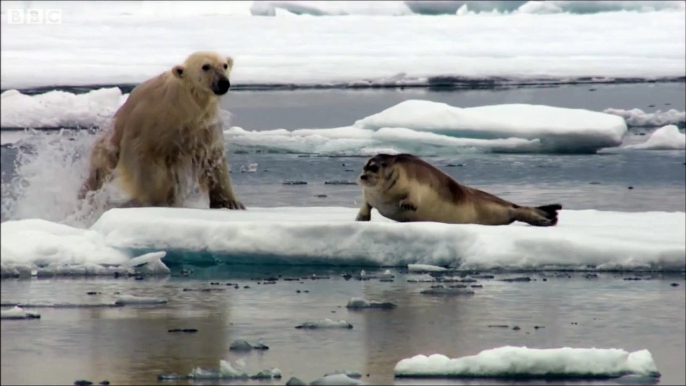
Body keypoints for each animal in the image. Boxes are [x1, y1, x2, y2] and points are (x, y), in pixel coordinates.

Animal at [79, 51, 246, 210]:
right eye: (206, 66)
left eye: (224, 65)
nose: (223, 83)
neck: (184, 107)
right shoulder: (151, 124)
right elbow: (143, 159)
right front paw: (156, 199)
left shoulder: (202, 128)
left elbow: (213, 159)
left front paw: (231, 203)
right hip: (108, 148)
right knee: (99, 173)